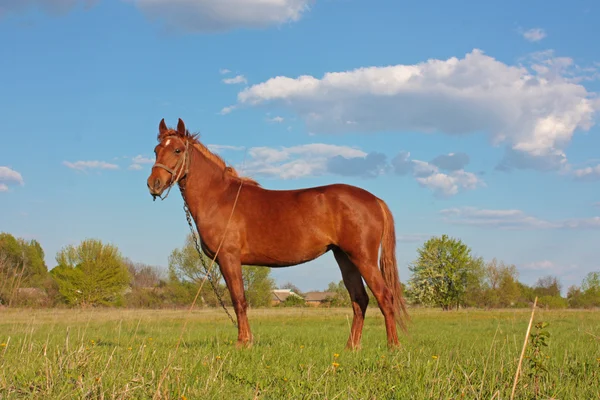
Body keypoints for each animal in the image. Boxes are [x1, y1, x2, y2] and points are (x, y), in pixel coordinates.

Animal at [146, 119, 408, 350]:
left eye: (178, 150)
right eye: (156, 150)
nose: (153, 184)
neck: (219, 197)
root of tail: (374, 200)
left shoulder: (229, 259)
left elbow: (239, 300)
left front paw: (243, 343)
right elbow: (239, 300)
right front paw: (247, 340)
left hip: (362, 257)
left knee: (384, 296)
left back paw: (393, 346)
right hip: (345, 257)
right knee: (359, 299)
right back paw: (351, 347)